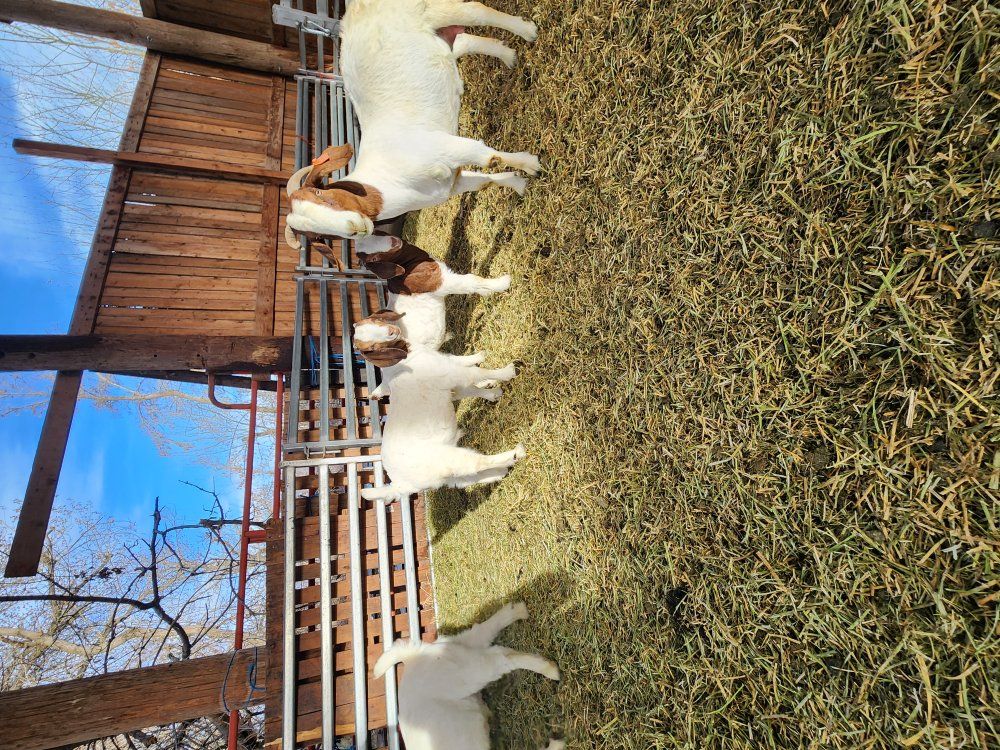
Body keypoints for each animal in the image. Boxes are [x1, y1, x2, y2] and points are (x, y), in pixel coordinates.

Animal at [285, 0, 541, 245]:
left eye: (320, 195)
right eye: (317, 236)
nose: (354, 229)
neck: (389, 180)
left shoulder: (443, 146)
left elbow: (488, 157)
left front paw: (532, 165)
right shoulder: (451, 183)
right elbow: (484, 181)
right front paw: (519, 183)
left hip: (427, 9)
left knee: (474, 11)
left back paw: (528, 31)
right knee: (462, 42)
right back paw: (508, 56)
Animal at [374, 602, 563, 750]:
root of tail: (411, 659)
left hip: (465, 673)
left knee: (501, 658)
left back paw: (550, 670)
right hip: (461, 651)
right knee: (483, 633)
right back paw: (518, 611)